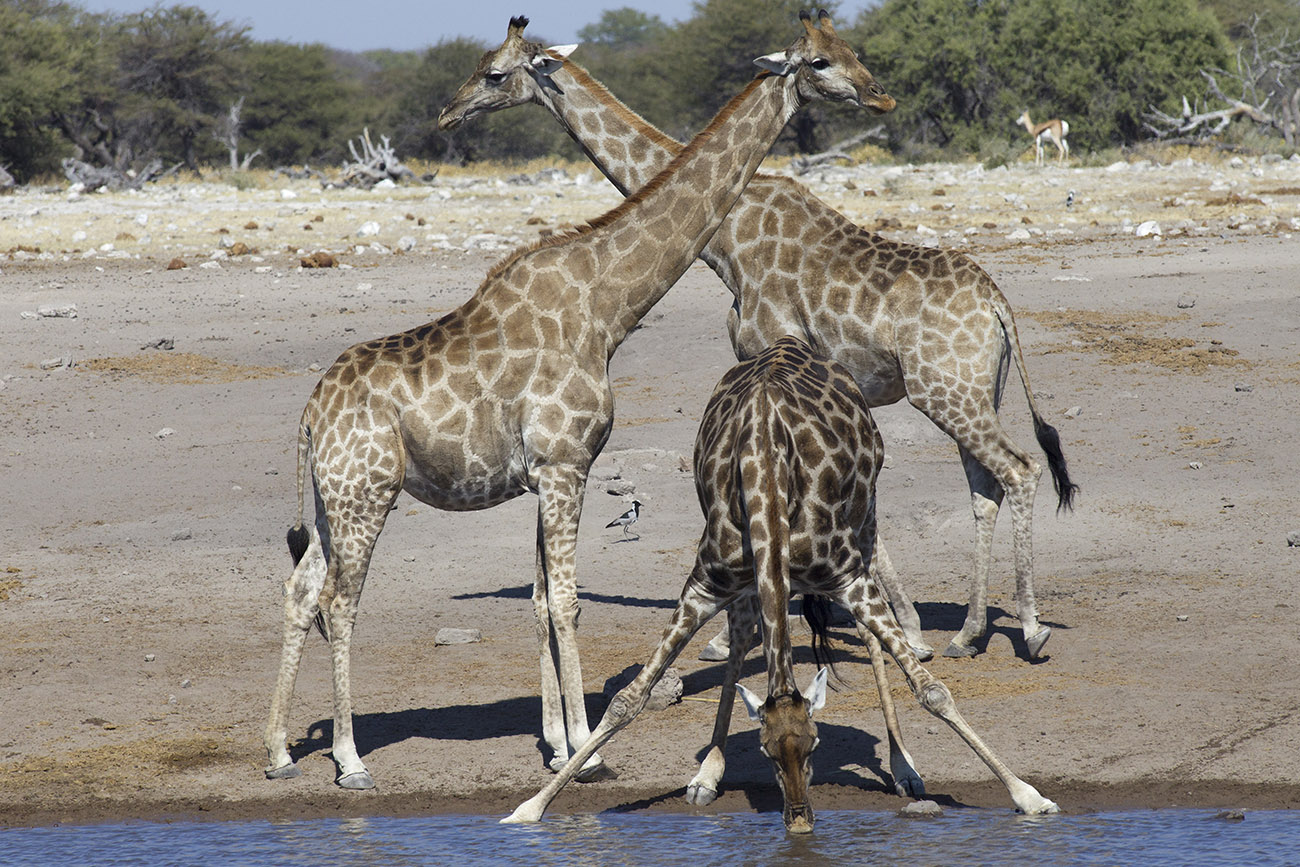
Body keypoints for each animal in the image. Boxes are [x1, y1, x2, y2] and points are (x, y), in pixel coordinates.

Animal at [262, 11, 895, 791]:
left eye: (848, 51)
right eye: (819, 62)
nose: (879, 95)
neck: (606, 305)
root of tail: (310, 414)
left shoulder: (543, 475)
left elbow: (541, 601)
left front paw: (561, 744)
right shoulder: (567, 465)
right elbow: (566, 601)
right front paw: (587, 750)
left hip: (331, 497)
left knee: (300, 591)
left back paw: (280, 751)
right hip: (366, 492)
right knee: (339, 600)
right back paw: (349, 759)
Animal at [439, 16, 1079, 662]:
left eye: (494, 74)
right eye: (828, 57)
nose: (447, 112)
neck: (727, 237)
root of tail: (998, 304)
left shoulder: (764, 349)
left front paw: (737, 636)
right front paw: (896, 624)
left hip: (947, 391)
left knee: (1020, 470)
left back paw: (1031, 629)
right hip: (975, 390)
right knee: (984, 486)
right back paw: (969, 633)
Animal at [504, 337, 1059, 829]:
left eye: (814, 743)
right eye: (768, 751)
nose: (799, 821)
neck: (766, 471)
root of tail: (790, 342)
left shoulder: (846, 576)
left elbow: (933, 690)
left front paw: (1029, 796)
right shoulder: (706, 584)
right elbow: (627, 700)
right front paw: (528, 809)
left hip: (866, 521)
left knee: (870, 638)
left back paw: (904, 767)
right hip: (751, 577)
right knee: (743, 635)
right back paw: (707, 773)